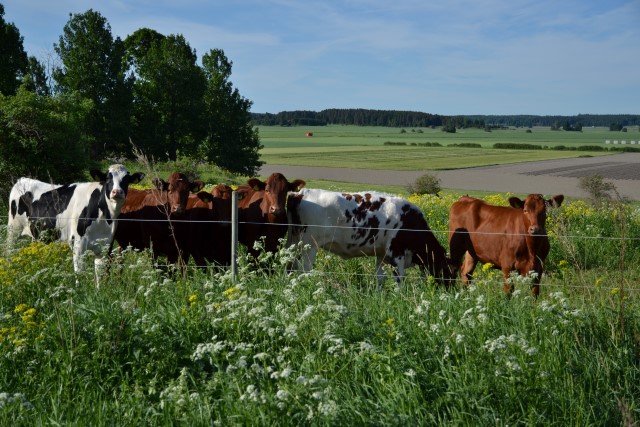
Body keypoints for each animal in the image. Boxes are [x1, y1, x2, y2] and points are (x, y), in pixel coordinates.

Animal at [7, 165, 145, 284]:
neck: (103, 217)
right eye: (107, 178)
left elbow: (99, 276)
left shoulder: (105, 246)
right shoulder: (78, 245)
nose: (117, 192)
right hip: (13, 230)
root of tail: (22, 179)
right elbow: (80, 274)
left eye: (126, 180)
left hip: (37, 235)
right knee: (8, 252)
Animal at [288, 190, 452, 288]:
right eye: (450, 270)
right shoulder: (396, 253)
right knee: (303, 269)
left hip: (295, 243)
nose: (450, 289)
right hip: (309, 246)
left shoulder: (382, 254)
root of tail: (300, 194)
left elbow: (380, 277)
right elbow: (399, 279)